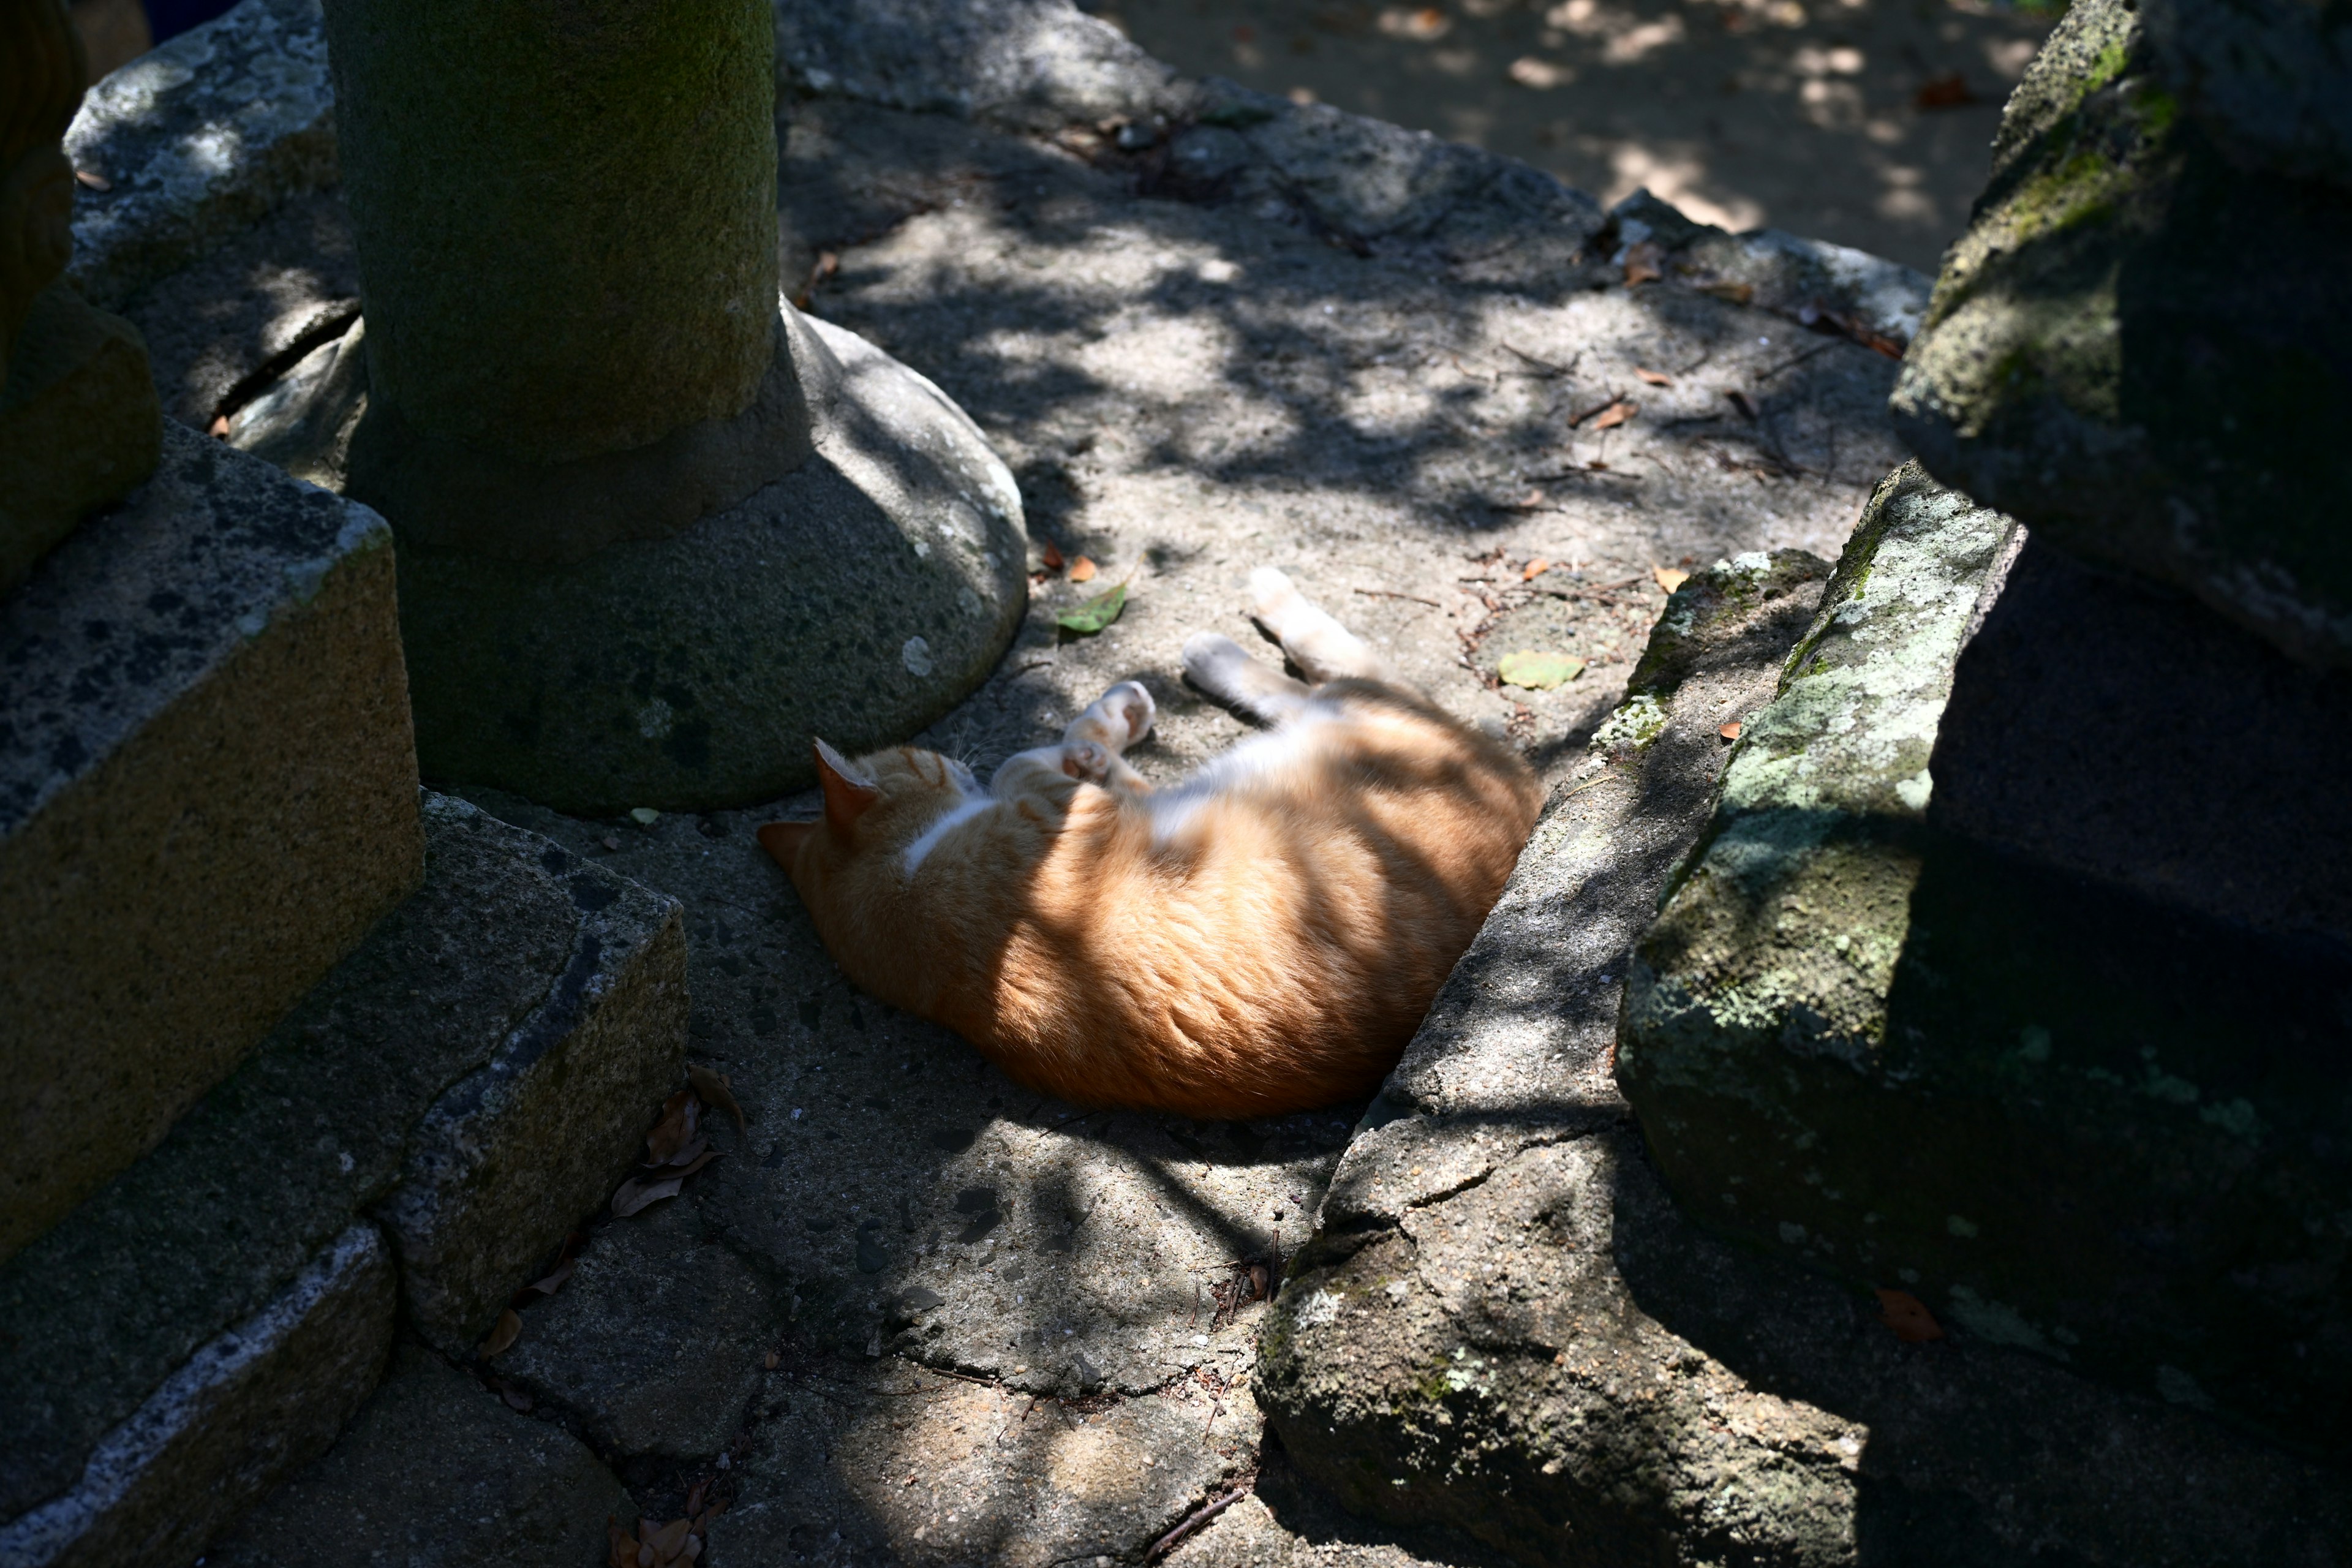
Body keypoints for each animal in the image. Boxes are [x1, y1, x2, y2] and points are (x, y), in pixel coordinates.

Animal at [752, 571, 1543, 1123]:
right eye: (926, 756)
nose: (956, 756)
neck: (908, 902)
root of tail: (1530, 788)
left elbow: (1045, 763)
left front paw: (1094, 741)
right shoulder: (1060, 812)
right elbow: (1036, 765)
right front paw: (1095, 742)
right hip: (1355, 718)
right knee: (1335, 667)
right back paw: (1232, 632)